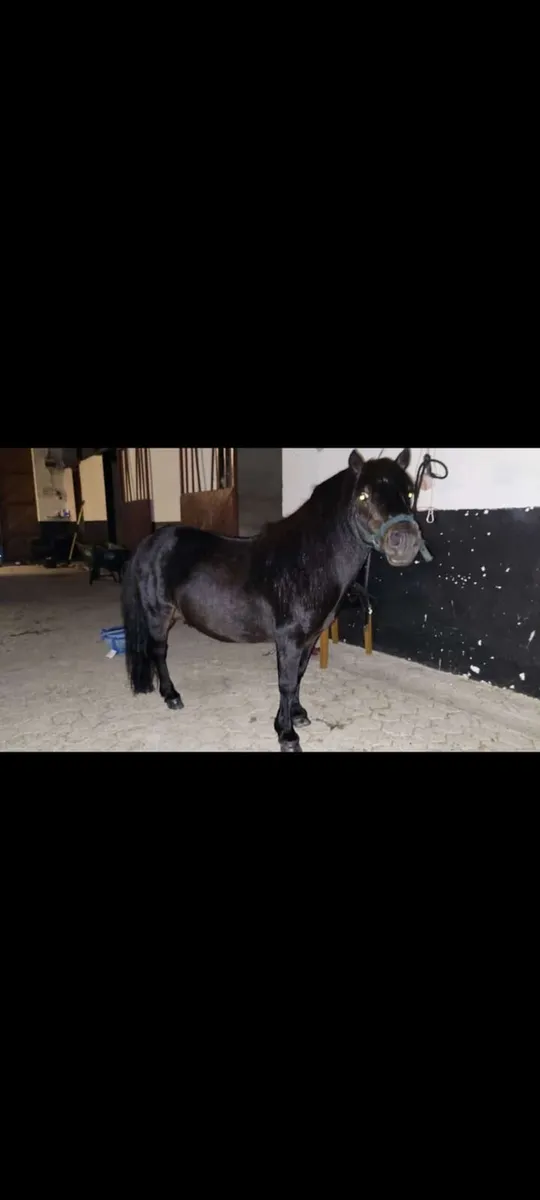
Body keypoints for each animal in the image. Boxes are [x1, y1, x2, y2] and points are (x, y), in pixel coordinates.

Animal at [121, 448, 423, 752]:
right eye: (363, 495)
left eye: (410, 493)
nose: (405, 542)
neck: (308, 562)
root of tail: (149, 542)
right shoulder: (289, 639)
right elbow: (286, 682)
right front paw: (287, 735)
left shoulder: (309, 638)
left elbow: (299, 674)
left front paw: (296, 715)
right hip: (159, 615)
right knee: (159, 652)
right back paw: (171, 695)